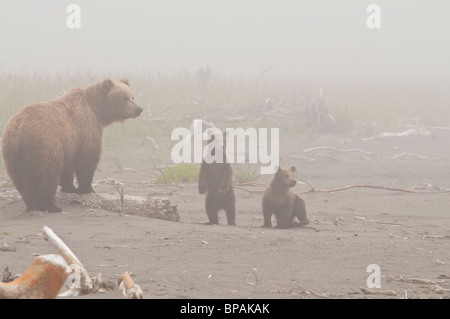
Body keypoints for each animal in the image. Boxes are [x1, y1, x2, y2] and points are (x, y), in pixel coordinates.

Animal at [1, 78, 142, 212]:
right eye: (124, 98)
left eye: (132, 96)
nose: (139, 109)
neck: (97, 110)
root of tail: (19, 129)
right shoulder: (85, 129)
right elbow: (87, 160)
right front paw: (87, 188)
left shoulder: (70, 143)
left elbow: (68, 166)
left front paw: (70, 187)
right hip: (45, 145)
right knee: (47, 175)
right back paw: (51, 206)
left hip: (13, 154)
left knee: (22, 181)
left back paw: (33, 204)